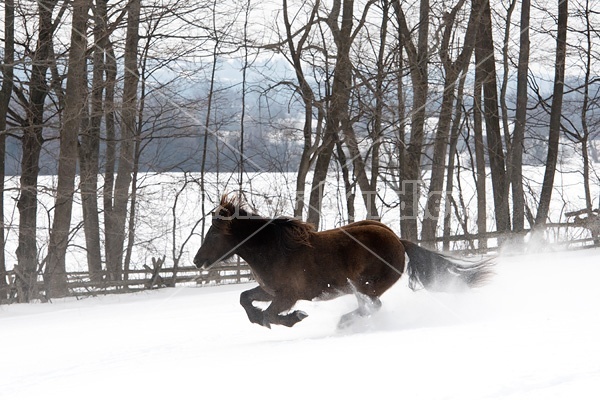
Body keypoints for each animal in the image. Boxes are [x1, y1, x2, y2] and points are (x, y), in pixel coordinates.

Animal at [195, 195, 494, 330]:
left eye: (213, 234)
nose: (198, 261)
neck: (274, 250)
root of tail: (399, 241)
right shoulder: (269, 291)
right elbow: (245, 299)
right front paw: (257, 318)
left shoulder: (288, 295)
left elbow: (271, 314)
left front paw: (293, 318)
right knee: (370, 307)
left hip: (367, 285)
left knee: (372, 306)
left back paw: (343, 323)